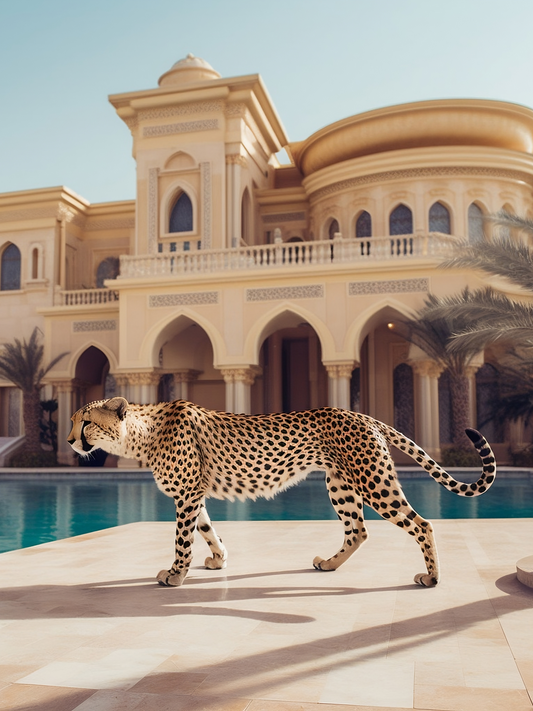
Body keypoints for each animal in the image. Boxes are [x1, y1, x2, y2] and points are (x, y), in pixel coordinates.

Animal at [67, 396, 496, 588]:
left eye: (85, 422)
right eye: (72, 421)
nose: (70, 441)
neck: (141, 435)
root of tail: (360, 413)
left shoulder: (187, 495)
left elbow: (182, 541)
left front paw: (175, 575)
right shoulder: (195, 495)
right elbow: (208, 531)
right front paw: (219, 560)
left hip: (374, 483)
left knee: (422, 524)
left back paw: (432, 577)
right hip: (339, 484)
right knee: (358, 530)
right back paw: (329, 565)